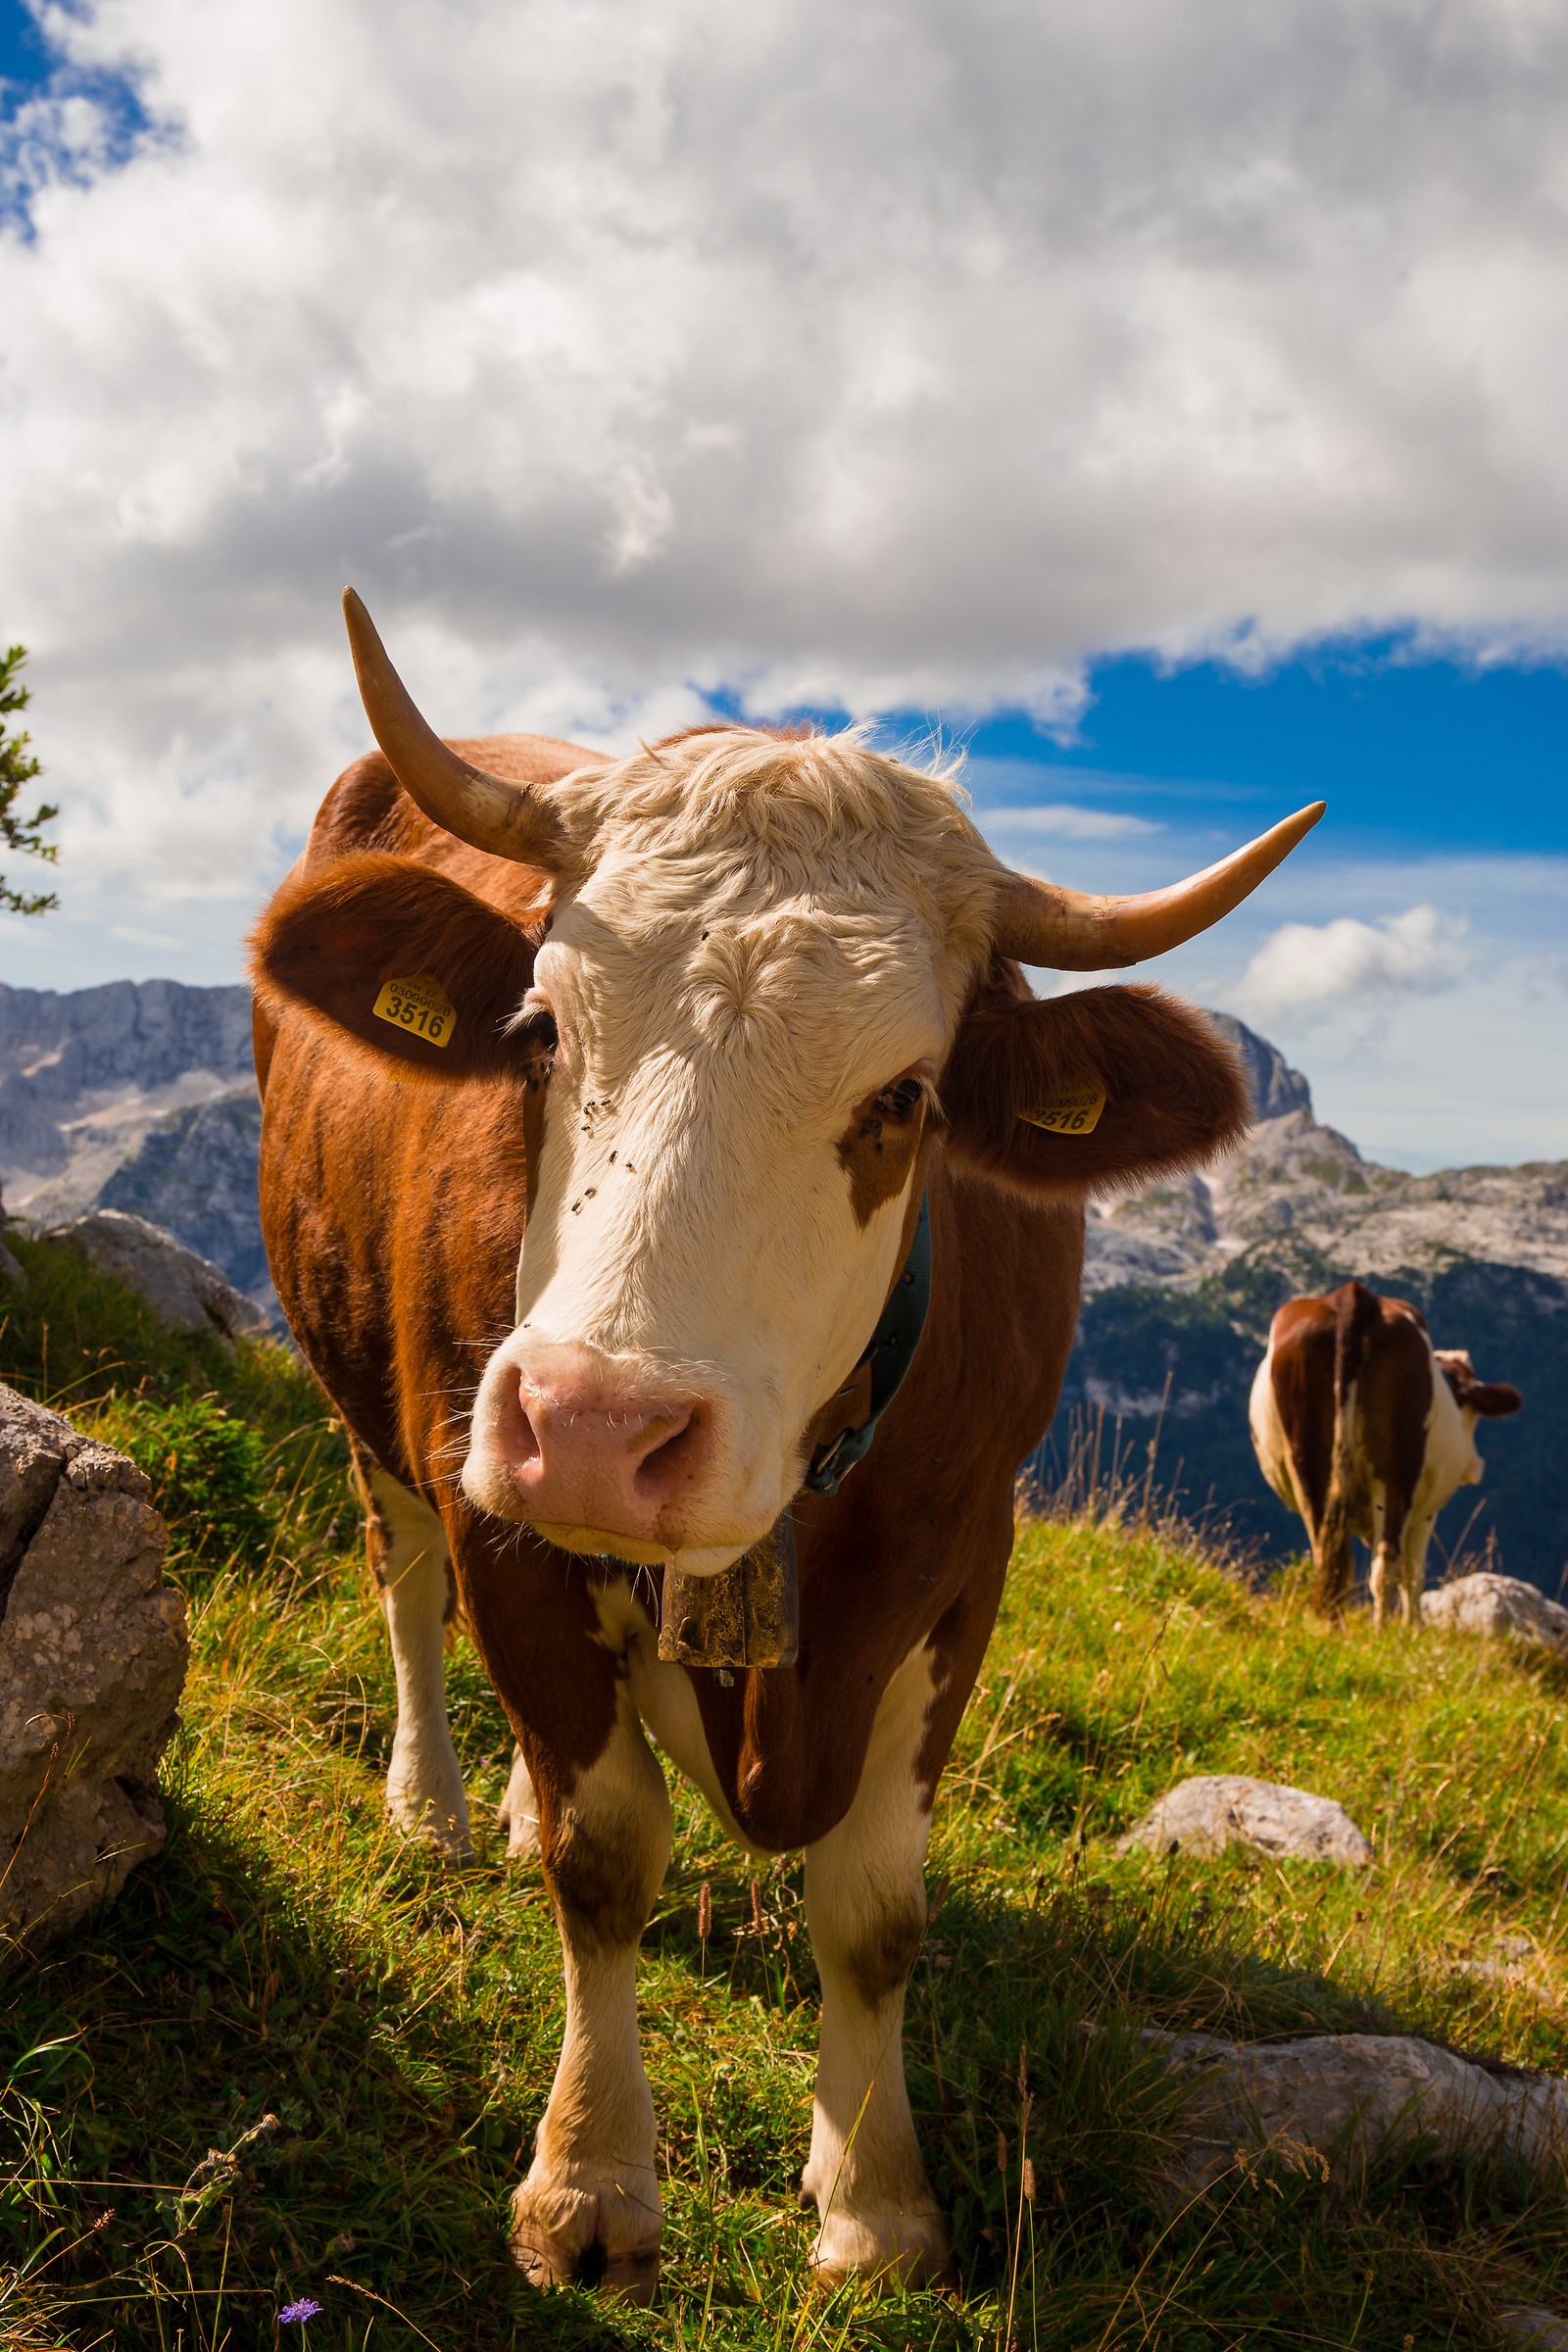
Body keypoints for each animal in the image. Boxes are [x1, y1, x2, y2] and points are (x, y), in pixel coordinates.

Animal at [250, 588, 1322, 2297]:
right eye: (540, 1028)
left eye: (906, 1099)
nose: (596, 1428)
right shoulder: (500, 1519)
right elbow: (603, 1853)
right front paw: (589, 2181)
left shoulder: (963, 1558)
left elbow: (872, 1911)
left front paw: (877, 2205)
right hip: (370, 1393)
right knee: (405, 1583)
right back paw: (436, 1803)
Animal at [1250, 1279, 1523, 1627]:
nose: (1475, 1466)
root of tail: (1353, 1294)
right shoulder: (1426, 1512)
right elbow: (1414, 1574)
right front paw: (1412, 1629)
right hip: (1397, 1468)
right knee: (1386, 1563)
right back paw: (1380, 1632)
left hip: (1307, 1462)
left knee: (1331, 1558)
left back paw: (1332, 1626)